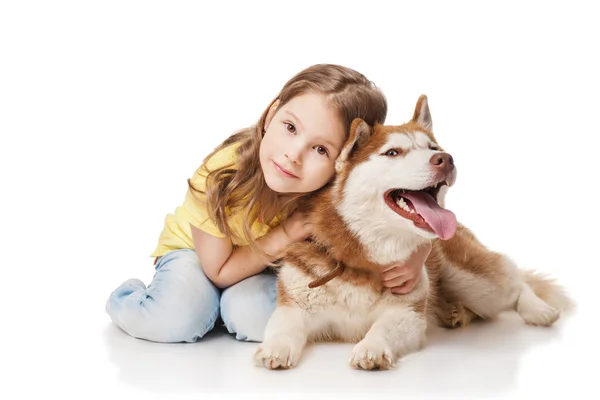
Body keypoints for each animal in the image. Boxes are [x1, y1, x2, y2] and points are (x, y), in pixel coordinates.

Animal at [253, 95, 572, 370]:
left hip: (475, 282)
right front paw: (276, 347)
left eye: (432, 148)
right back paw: (456, 312)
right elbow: (284, 327)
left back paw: (537, 309)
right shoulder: (294, 304)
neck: (364, 255)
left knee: (515, 281)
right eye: (393, 152)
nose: (446, 158)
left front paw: (372, 347)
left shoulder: (407, 312)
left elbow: (383, 327)